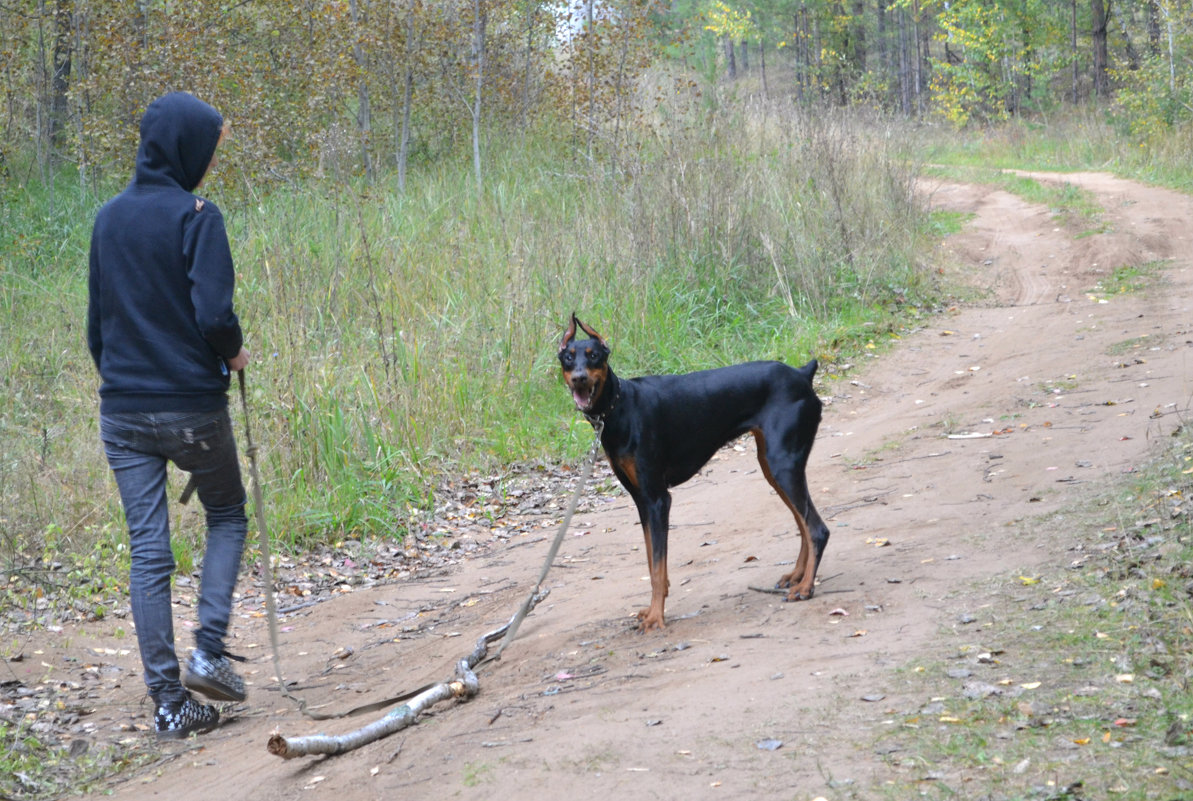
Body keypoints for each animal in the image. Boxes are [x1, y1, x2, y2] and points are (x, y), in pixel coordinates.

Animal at [560, 315, 830, 635]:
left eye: (594, 356)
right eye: (568, 357)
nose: (579, 378)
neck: (619, 408)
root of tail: (802, 374)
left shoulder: (658, 499)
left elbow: (657, 565)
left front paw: (656, 617)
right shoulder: (641, 500)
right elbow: (653, 562)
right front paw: (654, 607)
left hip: (783, 464)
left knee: (817, 529)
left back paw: (806, 588)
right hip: (772, 467)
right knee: (803, 524)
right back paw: (797, 576)